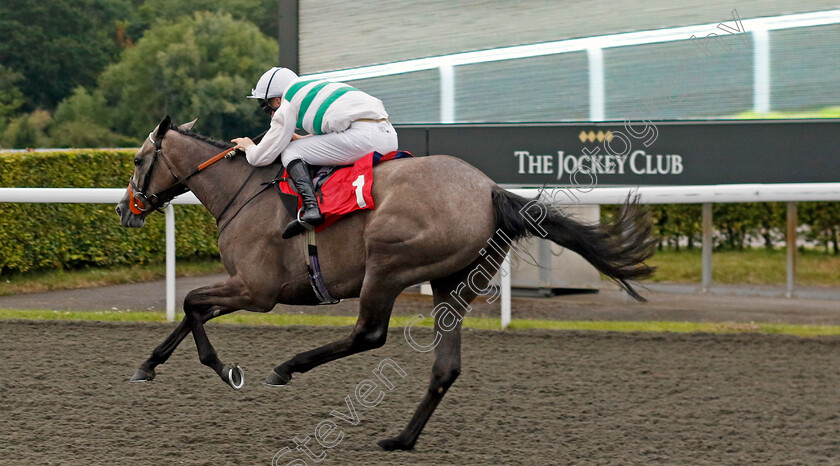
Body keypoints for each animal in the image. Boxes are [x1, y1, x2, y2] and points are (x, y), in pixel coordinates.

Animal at [116, 117, 656, 452]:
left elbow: (191, 302)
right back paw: (402, 438)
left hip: (388, 263)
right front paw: (148, 365)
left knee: (369, 334)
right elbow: (194, 309)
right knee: (445, 367)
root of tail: (489, 189)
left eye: (139, 160)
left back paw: (288, 367)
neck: (242, 191)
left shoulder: (257, 289)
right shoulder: (246, 286)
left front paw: (224, 368)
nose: (124, 208)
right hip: (450, 283)